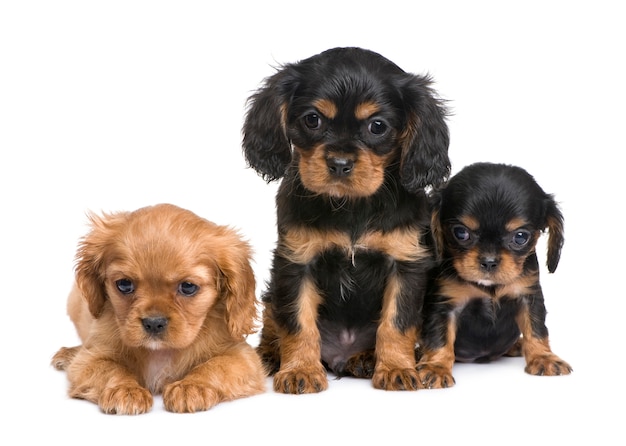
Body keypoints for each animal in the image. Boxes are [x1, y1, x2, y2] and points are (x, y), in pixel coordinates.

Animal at [49, 204, 264, 412]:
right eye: (124, 284)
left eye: (188, 287)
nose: (153, 323)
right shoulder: (89, 360)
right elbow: (110, 369)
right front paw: (125, 389)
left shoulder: (243, 357)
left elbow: (216, 366)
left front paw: (191, 386)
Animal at [240, 46, 448, 394]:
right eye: (313, 119)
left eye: (377, 126)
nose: (339, 163)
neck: (351, 206)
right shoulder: (296, 262)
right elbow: (297, 322)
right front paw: (300, 370)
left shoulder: (406, 263)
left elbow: (396, 323)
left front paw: (396, 368)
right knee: (273, 319)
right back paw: (270, 354)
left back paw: (365, 359)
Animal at [414, 162, 572, 388]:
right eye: (460, 232)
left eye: (520, 237)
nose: (489, 261)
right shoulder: (445, 305)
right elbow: (439, 338)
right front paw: (436, 368)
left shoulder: (529, 296)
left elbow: (536, 329)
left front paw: (544, 358)